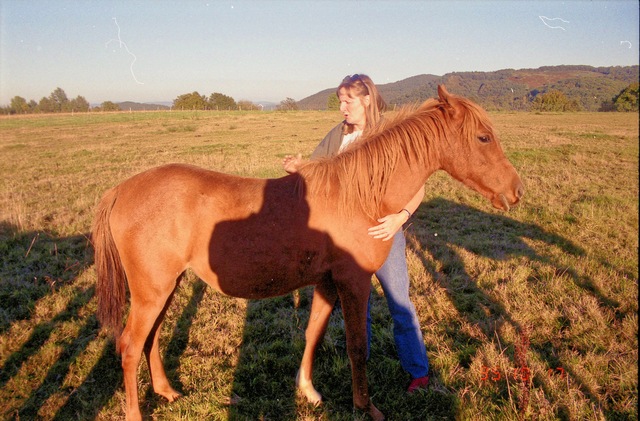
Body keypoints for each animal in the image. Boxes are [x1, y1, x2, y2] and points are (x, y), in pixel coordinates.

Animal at [92, 85, 523, 421]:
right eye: (483, 138)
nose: (516, 191)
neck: (359, 196)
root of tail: (120, 190)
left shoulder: (327, 284)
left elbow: (313, 332)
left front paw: (308, 391)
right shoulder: (353, 282)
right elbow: (357, 347)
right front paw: (366, 407)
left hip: (164, 288)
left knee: (150, 339)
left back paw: (166, 391)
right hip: (152, 291)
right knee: (129, 347)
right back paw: (136, 411)